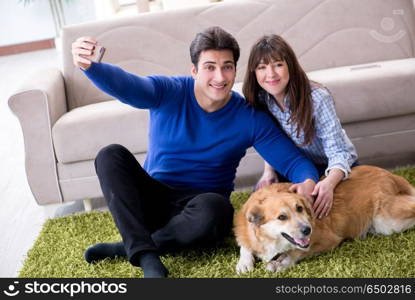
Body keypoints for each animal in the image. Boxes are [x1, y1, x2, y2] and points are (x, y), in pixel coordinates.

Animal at [234, 165, 415, 274]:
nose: (308, 230)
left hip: (387, 221)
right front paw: (244, 262)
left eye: (299, 208)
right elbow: (245, 244)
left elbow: (298, 251)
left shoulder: (329, 240)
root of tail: (390, 175)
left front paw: (282, 263)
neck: (269, 239)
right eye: (282, 217)